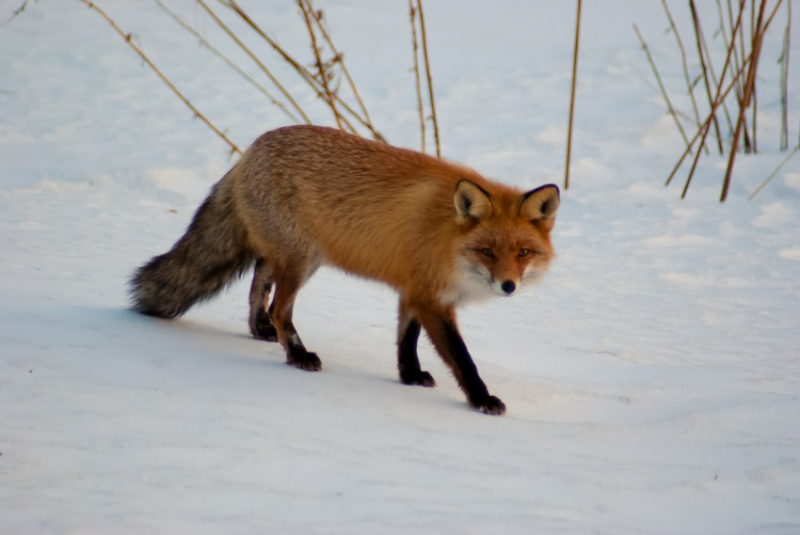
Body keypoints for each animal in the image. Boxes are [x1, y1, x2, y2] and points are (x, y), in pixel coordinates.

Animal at [131, 125, 560, 414]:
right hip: (301, 262)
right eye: (487, 251)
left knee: (258, 287)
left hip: (287, 257)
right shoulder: (431, 299)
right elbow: (462, 357)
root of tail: (251, 149)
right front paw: (481, 398)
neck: (447, 239)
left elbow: (406, 341)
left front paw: (409, 377)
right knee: (281, 309)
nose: (508, 286)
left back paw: (260, 330)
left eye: (523, 252)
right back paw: (298, 354)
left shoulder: (414, 290)